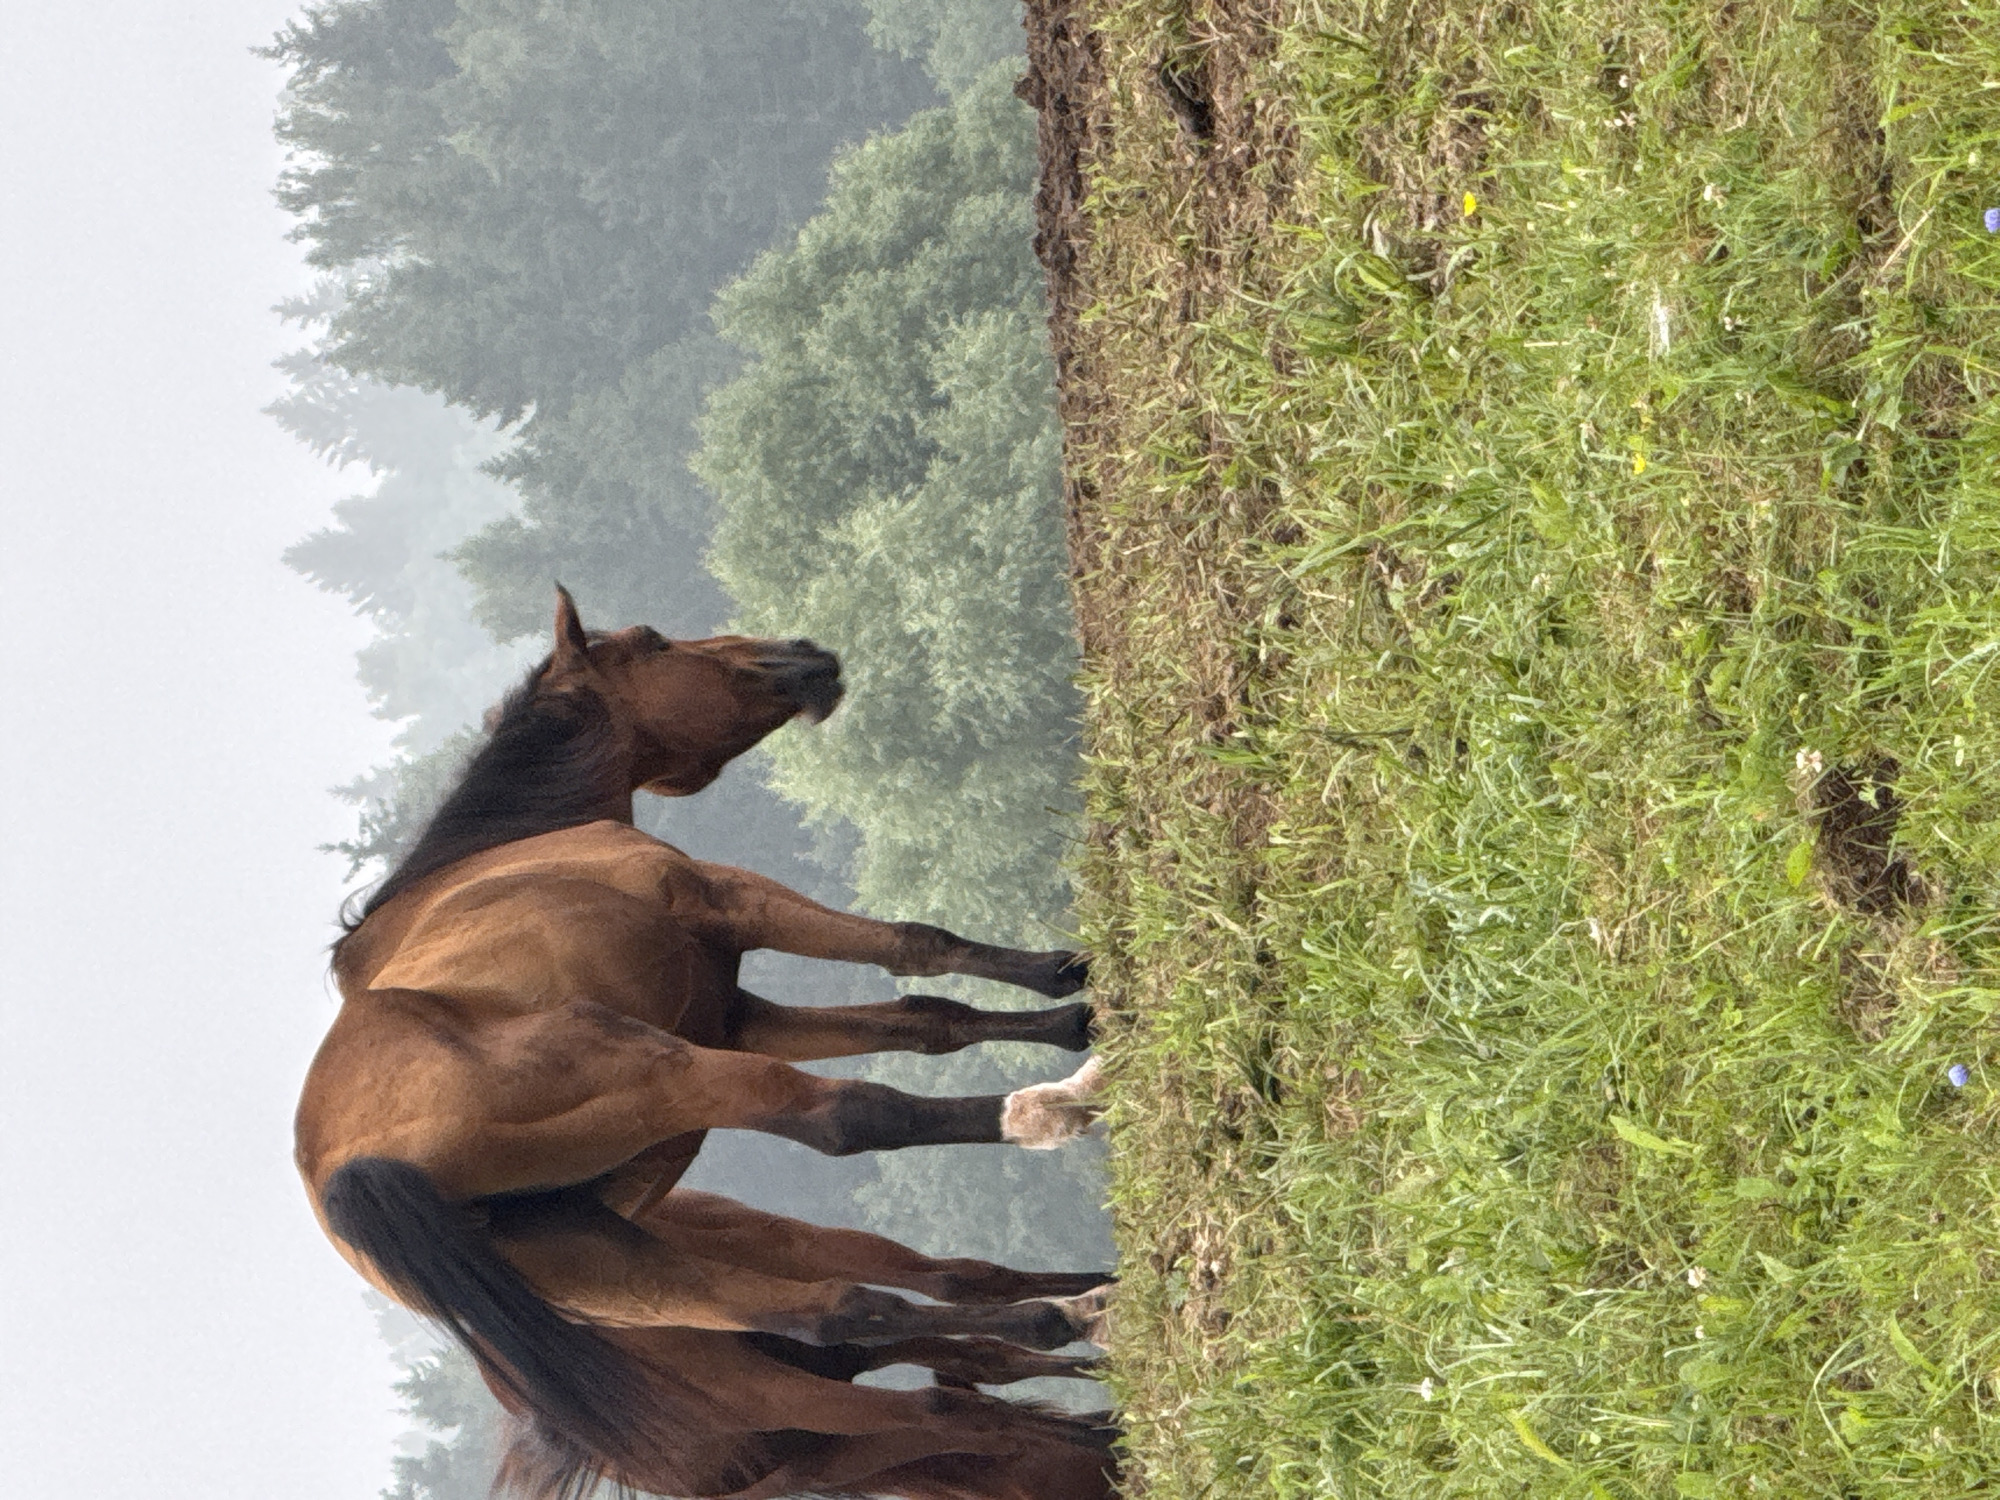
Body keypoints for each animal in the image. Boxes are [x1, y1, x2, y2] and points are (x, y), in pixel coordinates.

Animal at [297, 589, 1113, 1494]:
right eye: (652, 641)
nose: (807, 654)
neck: (513, 849)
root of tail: (344, 1171)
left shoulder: (737, 1014)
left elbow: (928, 1019)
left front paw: (1072, 1010)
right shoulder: (734, 903)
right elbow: (917, 946)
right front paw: (1073, 981)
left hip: (621, 1264)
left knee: (848, 1310)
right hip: (667, 1074)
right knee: (855, 1123)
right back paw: (1058, 1132)